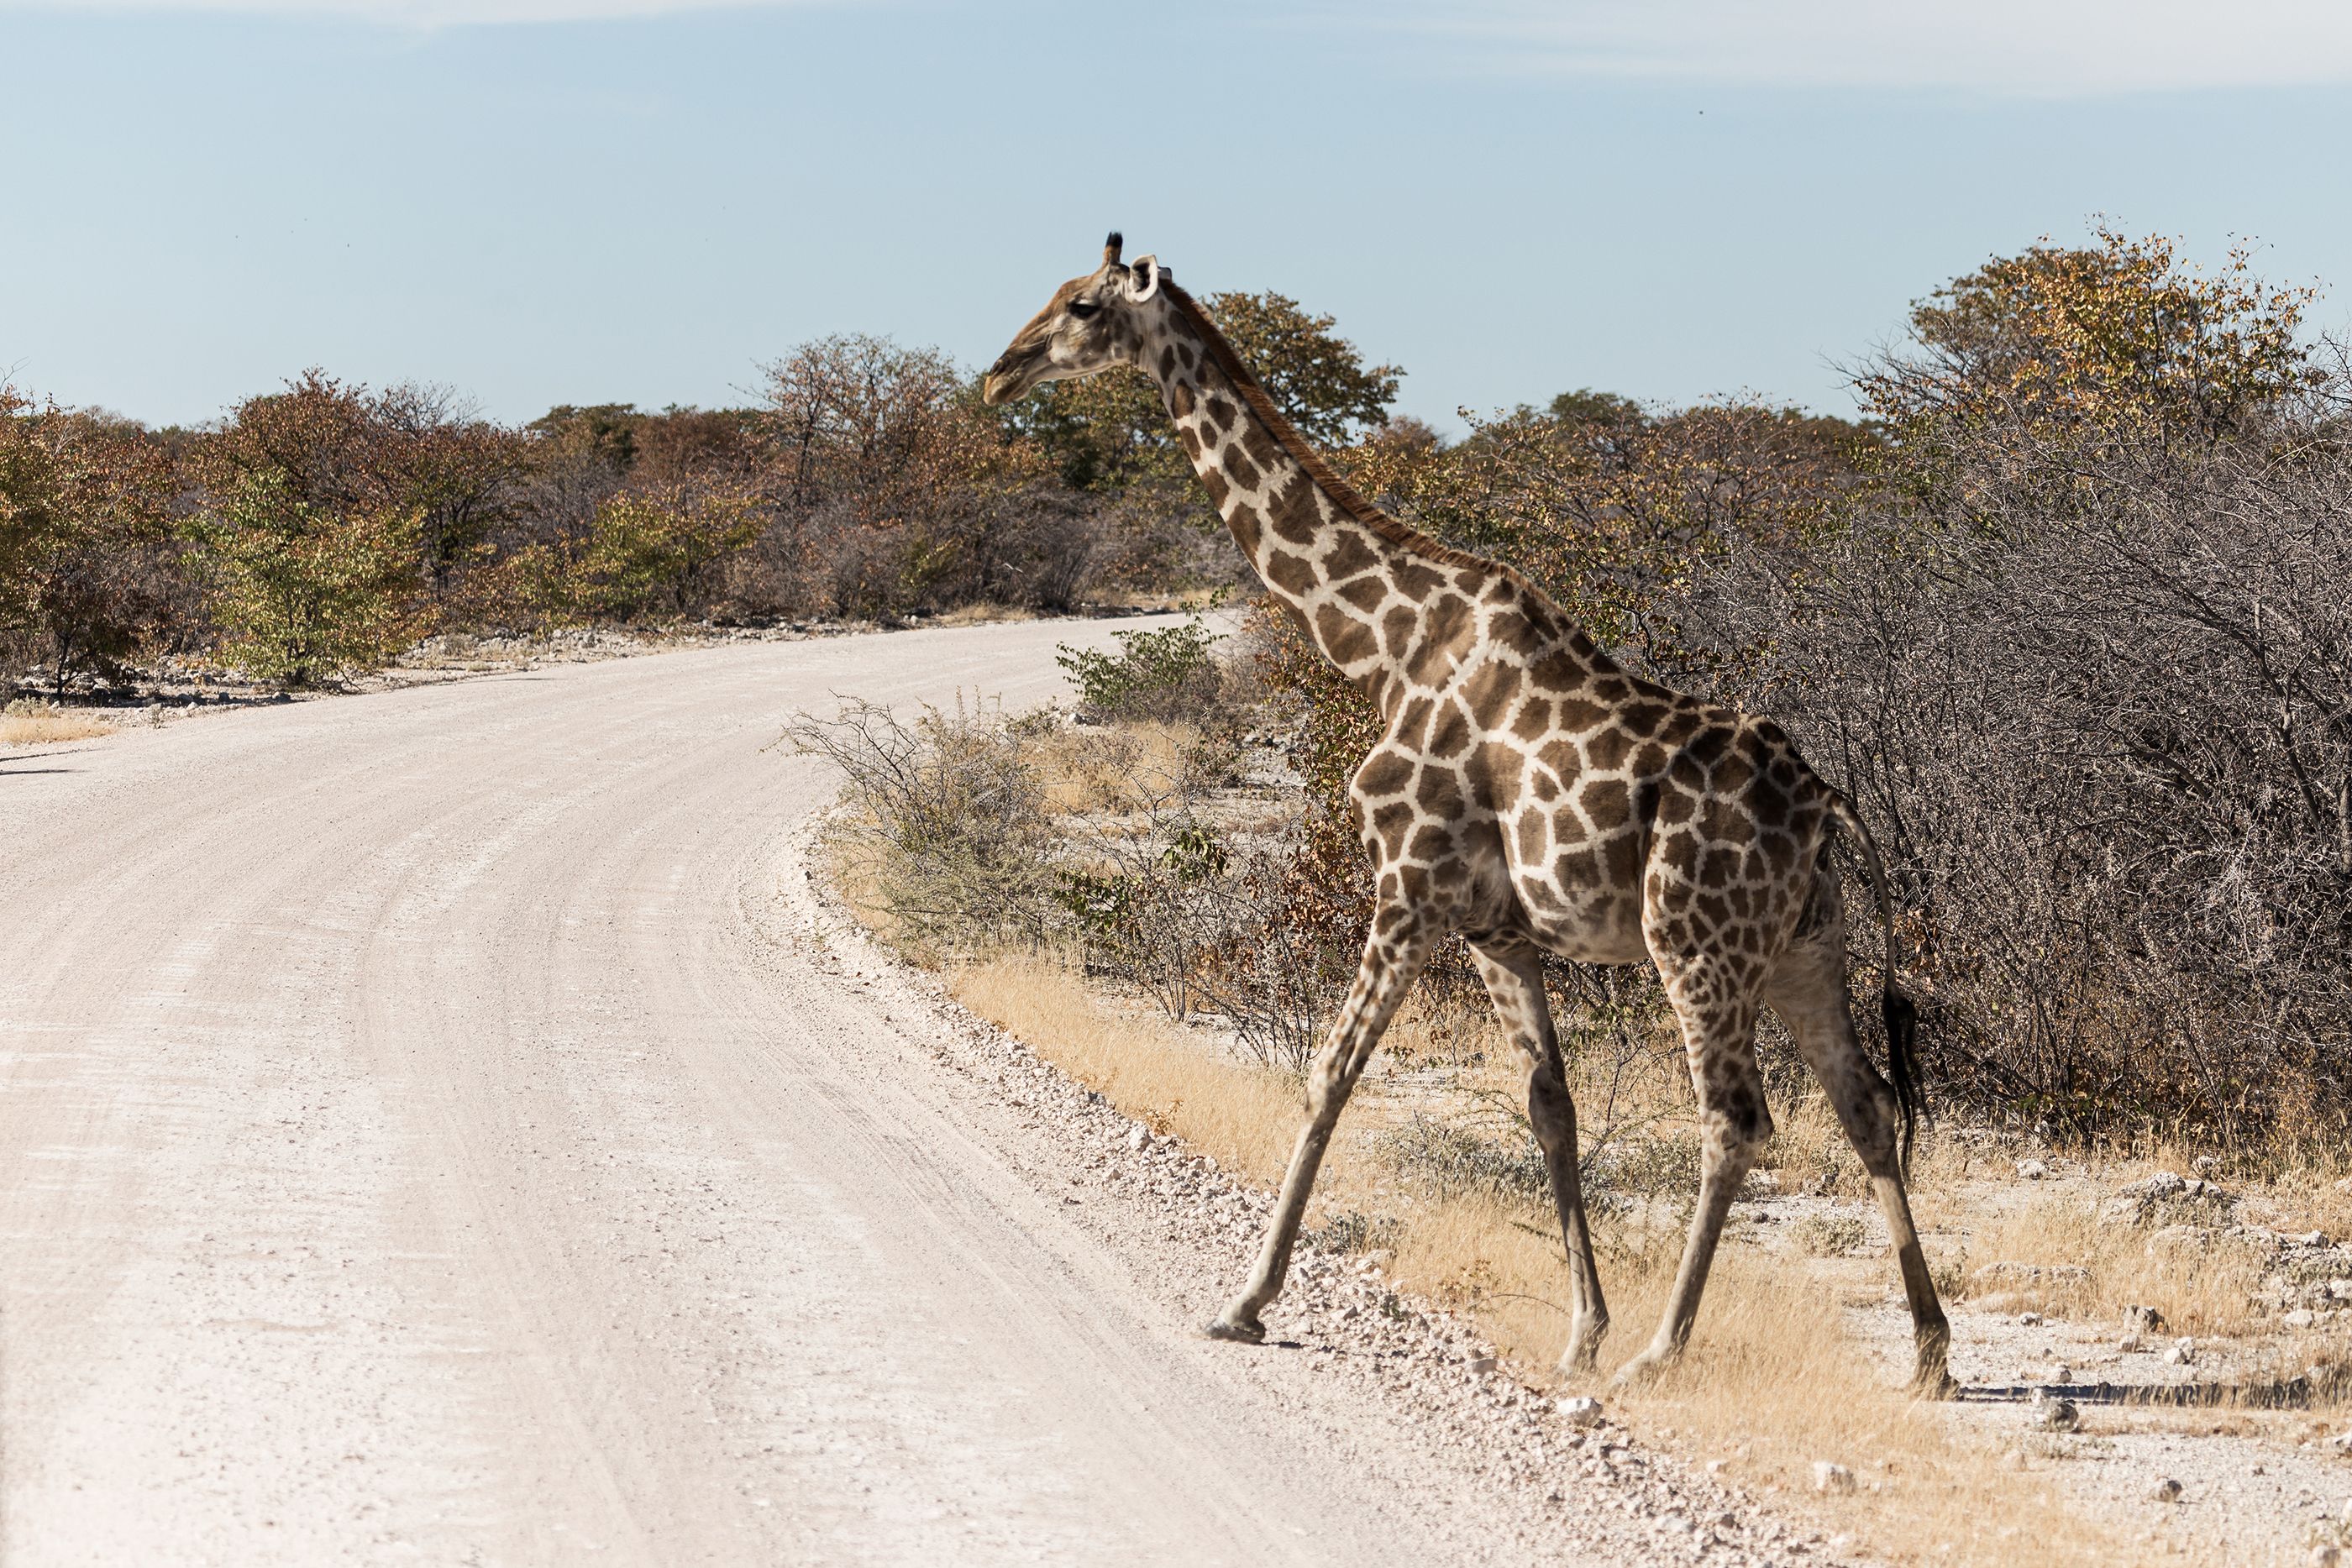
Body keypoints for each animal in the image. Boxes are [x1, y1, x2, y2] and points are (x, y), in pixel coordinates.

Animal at [982, 235, 1952, 1392]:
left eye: (1081, 307)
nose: (997, 374)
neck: (1380, 643)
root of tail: (1825, 806)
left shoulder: (1406, 890)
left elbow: (1330, 1072)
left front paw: (1245, 1301)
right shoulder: (1498, 929)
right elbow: (1551, 1109)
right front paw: (1581, 1331)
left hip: (1695, 942)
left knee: (1735, 1119)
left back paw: (1663, 1353)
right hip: (1806, 946)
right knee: (1865, 1102)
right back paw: (1929, 1354)